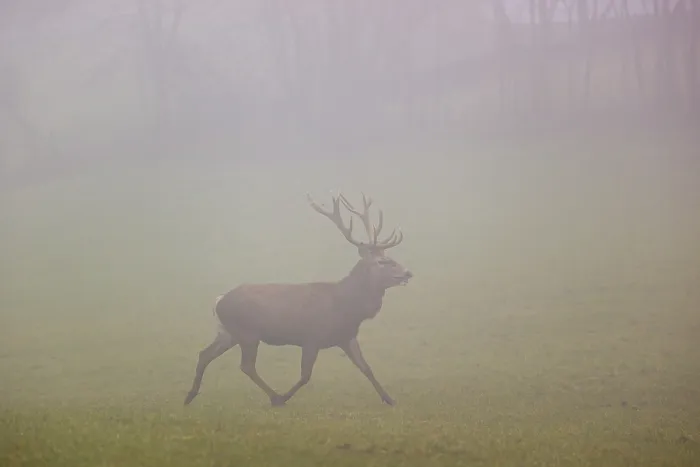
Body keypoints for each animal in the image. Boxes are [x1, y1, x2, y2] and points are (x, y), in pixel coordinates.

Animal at [183, 192, 413, 407]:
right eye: (382, 261)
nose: (407, 273)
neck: (346, 306)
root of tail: (219, 301)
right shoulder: (311, 337)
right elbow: (305, 376)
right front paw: (284, 397)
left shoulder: (347, 337)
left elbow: (366, 368)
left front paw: (390, 399)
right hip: (247, 333)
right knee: (246, 365)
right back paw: (275, 397)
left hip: (228, 332)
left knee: (205, 354)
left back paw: (190, 395)